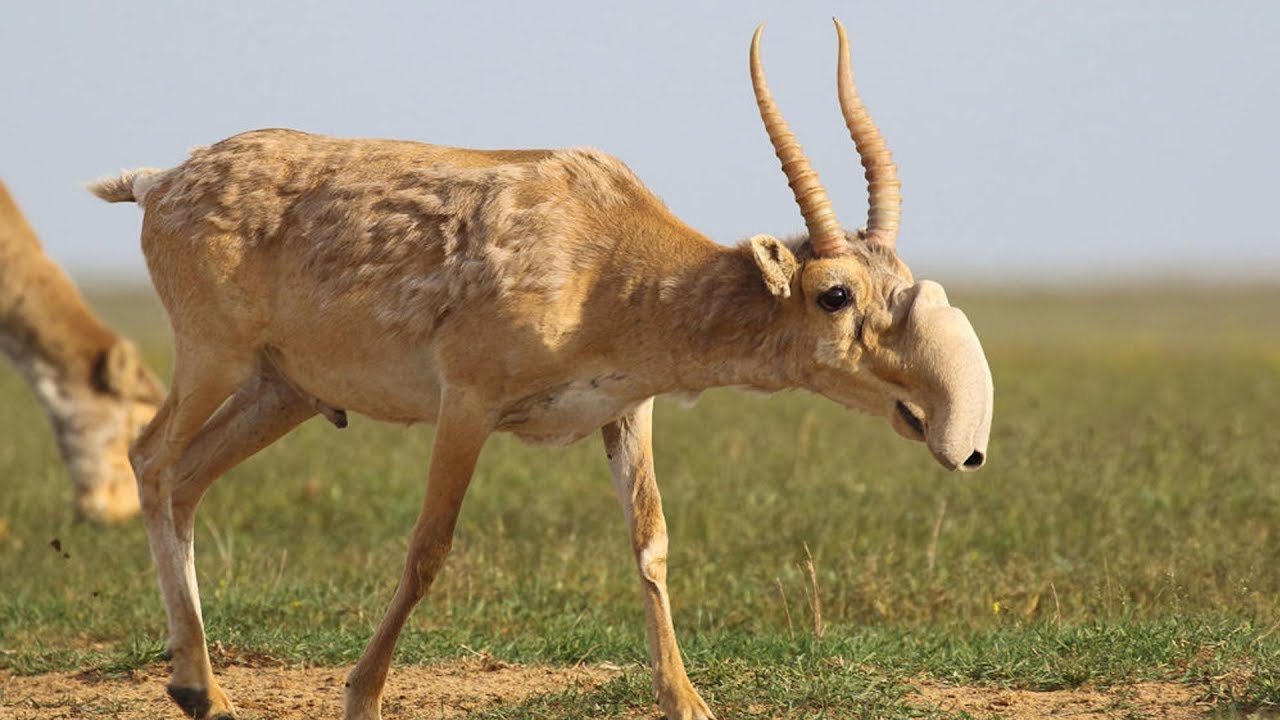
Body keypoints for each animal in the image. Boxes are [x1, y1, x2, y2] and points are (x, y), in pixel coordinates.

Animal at [92, 20, 988, 717]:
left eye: (900, 280)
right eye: (834, 294)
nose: (941, 422)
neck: (608, 257)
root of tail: (162, 181)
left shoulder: (627, 410)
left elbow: (651, 541)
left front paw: (687, 701)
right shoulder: (467, 404)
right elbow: (429, 545)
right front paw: (362, 695)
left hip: (283, 392)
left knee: (187, 479)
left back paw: (200, 688)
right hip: (215, 359)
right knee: (152, 459)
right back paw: (203, 687)